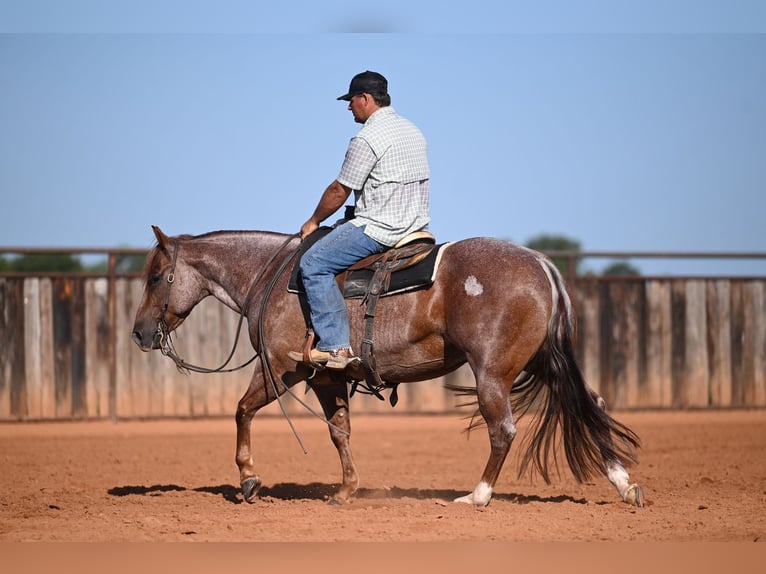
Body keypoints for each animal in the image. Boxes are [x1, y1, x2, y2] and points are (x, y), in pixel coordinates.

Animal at [131, 225, 643, 507]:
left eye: (156, 276)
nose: (139, 333)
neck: (272, 277)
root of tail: (541, 263)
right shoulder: (329, 376)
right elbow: (339, 432)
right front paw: (346, 490)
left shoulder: (282, 368)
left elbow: (242, 410)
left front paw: (249, 478)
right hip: (542, 361)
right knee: (589, 405)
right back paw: (624, 485)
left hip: (493, 374)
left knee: (504, 430)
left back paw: (478, 495)